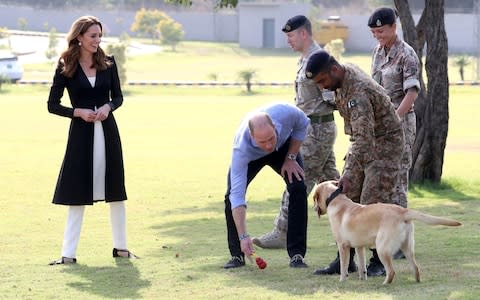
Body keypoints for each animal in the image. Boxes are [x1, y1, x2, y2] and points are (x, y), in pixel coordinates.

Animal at [312, 180, 462, 284]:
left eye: (314, 198)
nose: (313, 208)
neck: (336, 200)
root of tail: (403, 211)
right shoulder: (359, 247)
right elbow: (362, 266)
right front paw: (362, 279)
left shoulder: (343, 245)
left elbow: (344, 267)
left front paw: (342, 280)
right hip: (407, 248)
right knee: (416, 268)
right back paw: (417, 281)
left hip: (382, 248)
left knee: (391, 271)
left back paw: (385, 283)